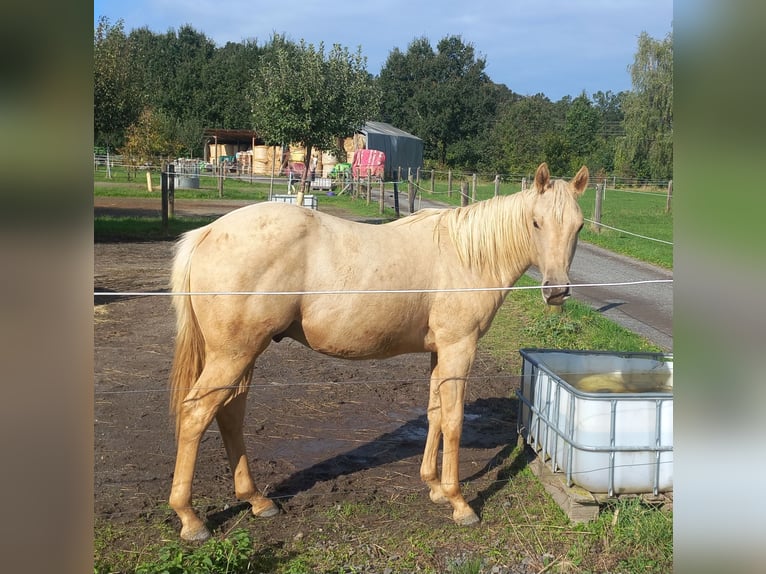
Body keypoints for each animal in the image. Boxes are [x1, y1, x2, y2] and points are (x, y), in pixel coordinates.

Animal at [166, 163, 588, 544]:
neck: (467, 255)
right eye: (536, 222)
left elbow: (435, 413)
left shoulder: (439, 352)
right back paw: (191, 519)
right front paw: (458, 502)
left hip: (244, 355)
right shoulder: (459, 348)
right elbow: (453, 420)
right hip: (233, 355)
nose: (556, 291)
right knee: (196, 413)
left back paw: (256, 500)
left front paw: (433, 486)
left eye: (579, 226)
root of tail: (208, 232)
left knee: (229, 414)